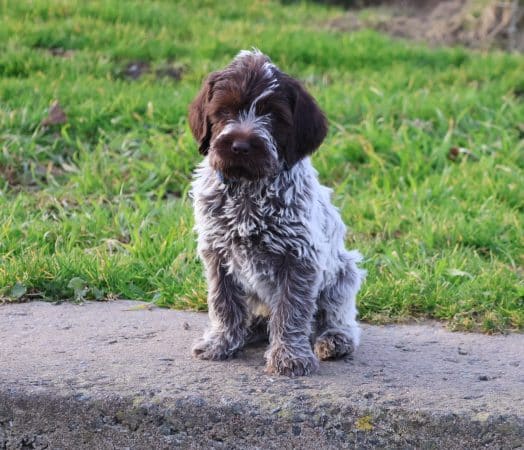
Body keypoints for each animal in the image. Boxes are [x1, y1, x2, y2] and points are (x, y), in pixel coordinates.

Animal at [188, 49, 364, 376]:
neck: (248, 190)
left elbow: (291, 311)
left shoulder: (300, 258)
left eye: (272, 116)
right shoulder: (217, 252)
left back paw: (335, 339)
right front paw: (221, 341)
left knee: (337, 315)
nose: (240, 146)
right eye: (225, 111)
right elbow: (224, 302)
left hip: (344, 271)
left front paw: (289, 356)